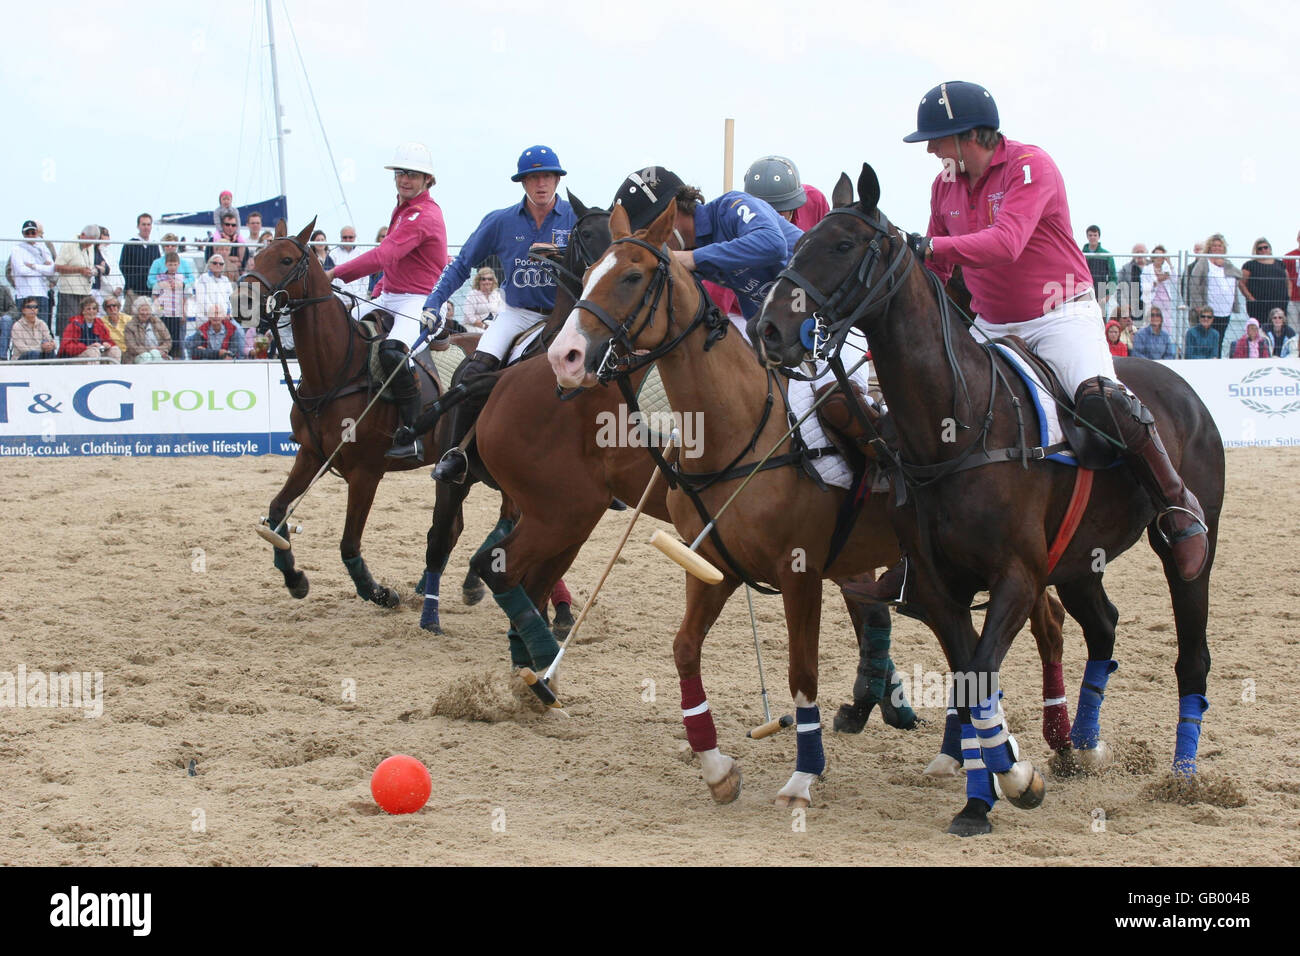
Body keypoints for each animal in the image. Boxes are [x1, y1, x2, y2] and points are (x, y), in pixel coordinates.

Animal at [548, 205, 1076, 811]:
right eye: (588, 274)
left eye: (632, 276)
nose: (562, 357)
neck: (737, 431)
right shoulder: (712, 568)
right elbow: (684, 650)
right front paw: (716, 767)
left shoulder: (799, 572)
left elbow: (802, 673)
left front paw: (803, 775)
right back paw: (963, 754)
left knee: (1043, 624)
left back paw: (1055, 747)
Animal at [748, 166, 1222, 837]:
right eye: (798, 245)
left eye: (841, 245)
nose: (769, 330)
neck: (955, 425)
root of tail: (1184, 388)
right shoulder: (937, 583)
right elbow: (970, 678)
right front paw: (987, 792)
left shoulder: (1017, 575)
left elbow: (978, 676)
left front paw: (1014, 779)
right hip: (1078, 559)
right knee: (1103, 625)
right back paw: (1083, 743)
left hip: (1182, 549)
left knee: (1192, 652)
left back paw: (1182, 775)